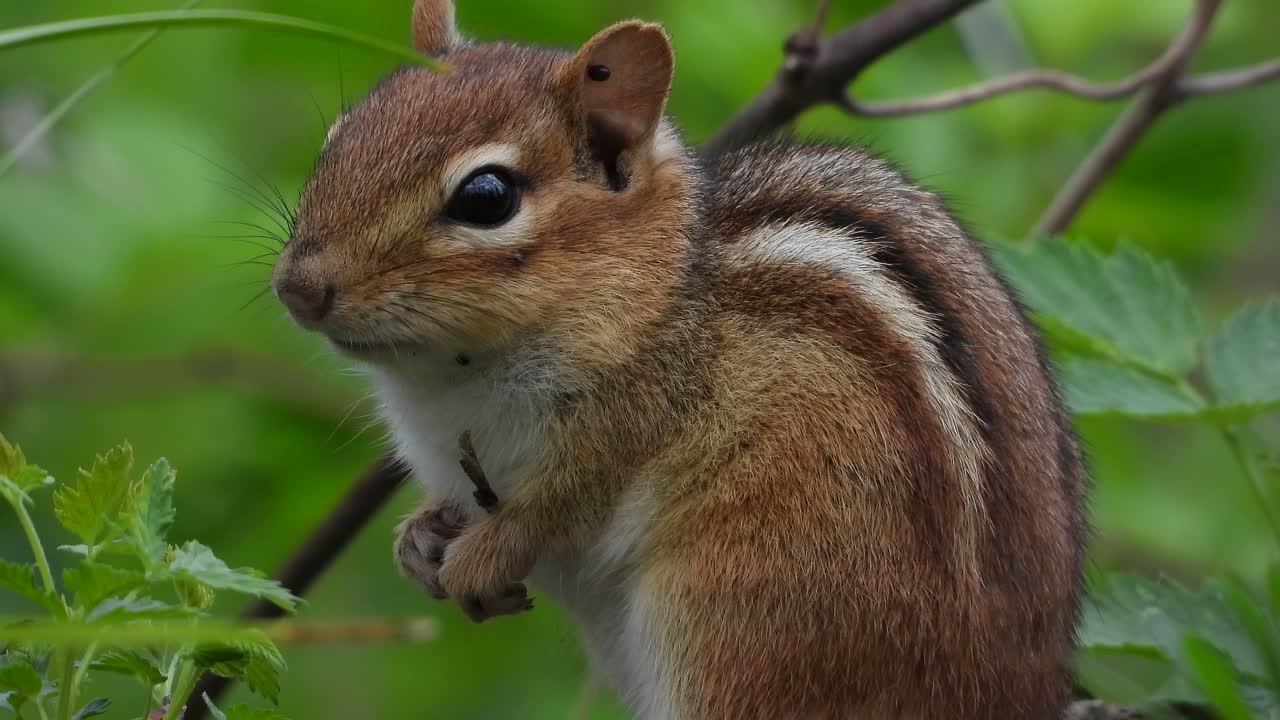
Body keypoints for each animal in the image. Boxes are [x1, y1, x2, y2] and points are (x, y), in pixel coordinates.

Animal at [271, 1, 1086, 718]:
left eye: (487, 196)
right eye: (337, 138)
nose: (298, 287)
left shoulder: (630, 423)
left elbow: (558, 508)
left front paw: (480, 556)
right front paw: (417, 540)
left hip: (747, 608)